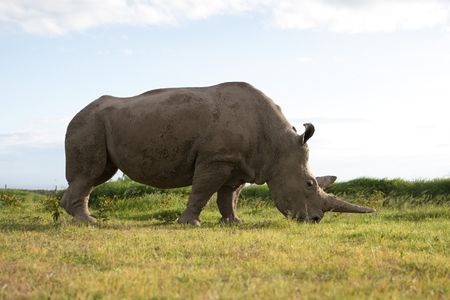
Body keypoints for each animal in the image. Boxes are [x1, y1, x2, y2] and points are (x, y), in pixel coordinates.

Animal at [60, 81, 376, 224]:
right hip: (88, 123)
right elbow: (202, 190)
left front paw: (233, 222)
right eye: (309, 184)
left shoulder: (241, 163)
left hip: (95, 123)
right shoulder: (216, 159)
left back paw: (77, 217)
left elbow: (229, 196)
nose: (315, 220)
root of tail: (78, 112)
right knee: (90, 174)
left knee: (97, 174)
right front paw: (190, 223)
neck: (278, 146)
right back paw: (88, 223)